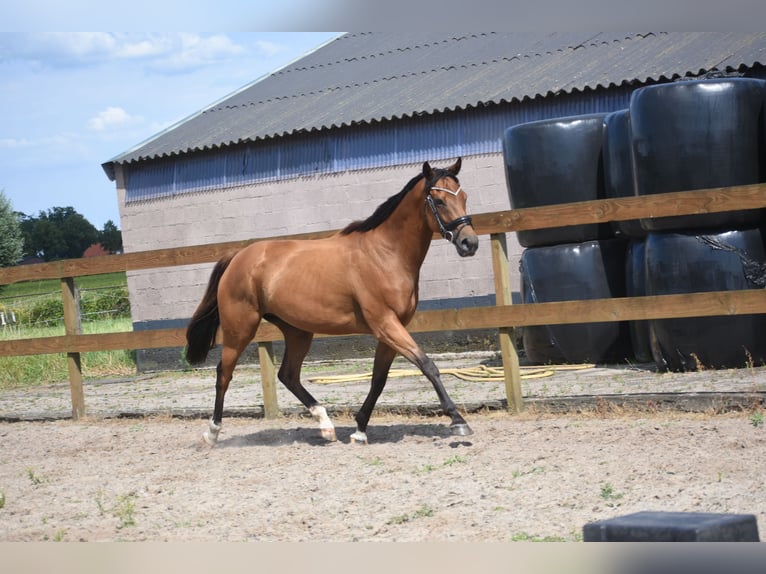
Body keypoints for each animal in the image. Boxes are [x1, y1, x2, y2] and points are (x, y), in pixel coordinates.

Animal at [185, 158, 479, 445]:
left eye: (464, 196)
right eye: (439, 201)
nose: (470, 243)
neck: (385, 254)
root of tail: (238, 256)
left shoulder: (390, 330)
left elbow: (379, 379)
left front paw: (360, 430)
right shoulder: (385, 324)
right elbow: (427, 365)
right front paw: (458, 422)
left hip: (298, 331)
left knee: (288, 375)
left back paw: (326, 426)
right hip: (240, 329)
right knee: (224, 373)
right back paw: (212, 433)